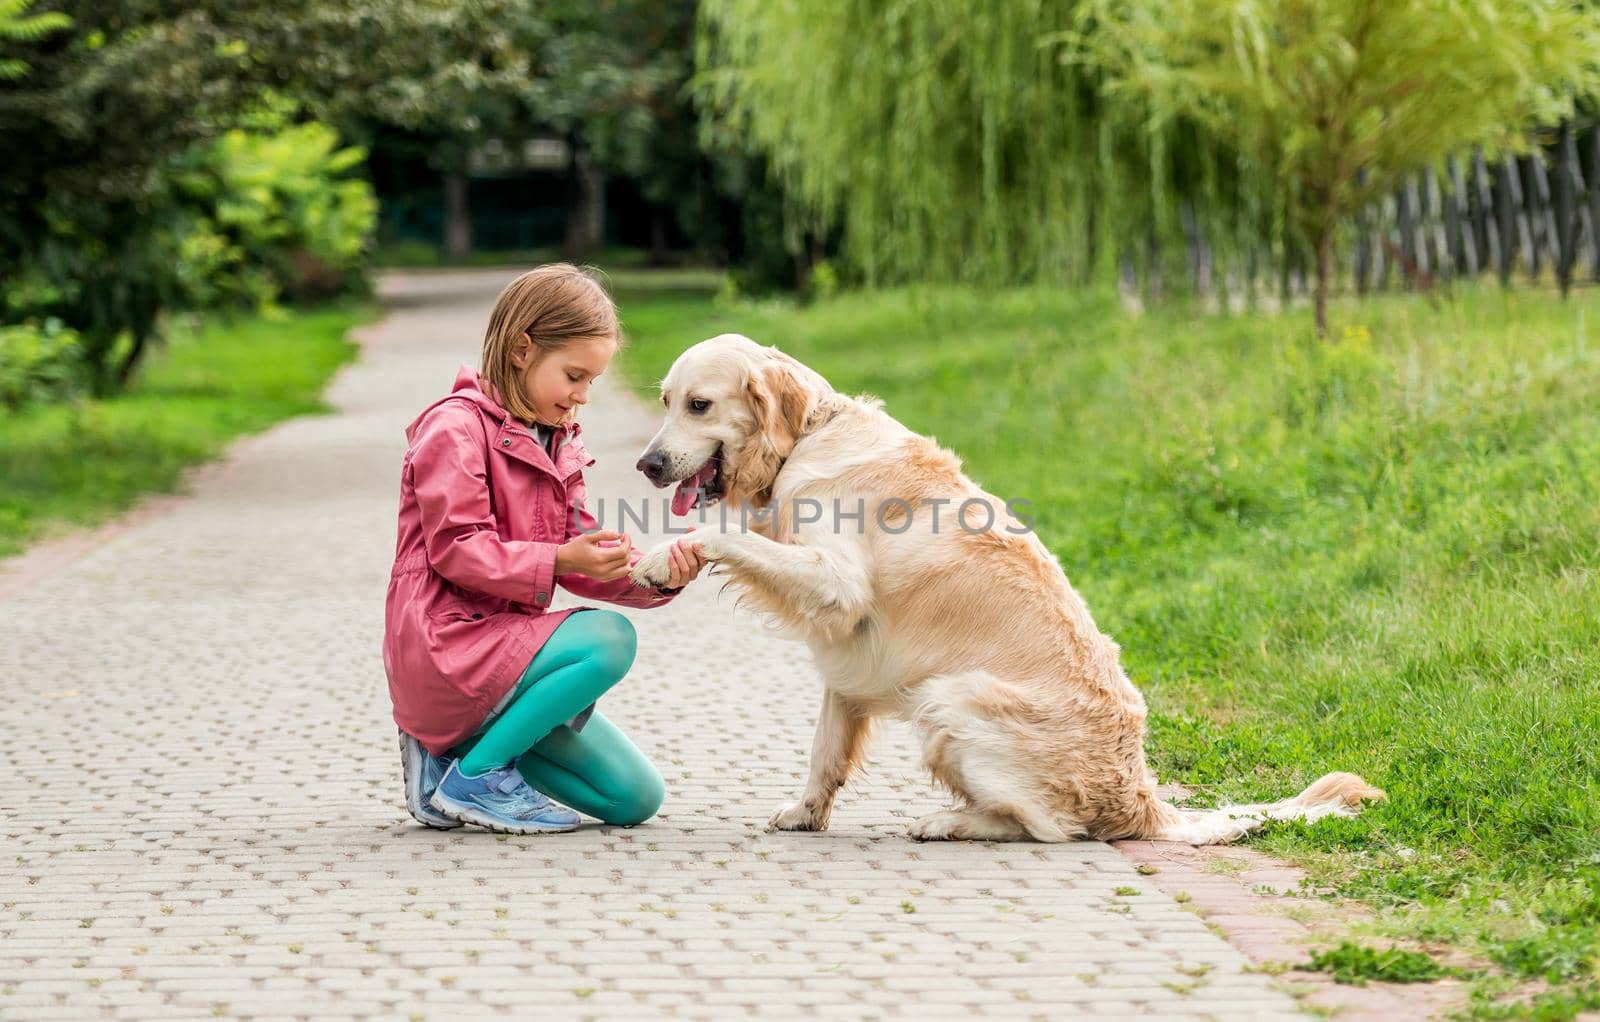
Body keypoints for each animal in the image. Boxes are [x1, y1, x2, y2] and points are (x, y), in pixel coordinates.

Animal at [630, 335, 1382, 844]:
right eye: (664, 402)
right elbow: (825, 750)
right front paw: (806, 813)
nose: (647, 464)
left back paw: (950, 822)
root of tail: (1143, 798)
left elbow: (727, 538)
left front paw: (663, 558)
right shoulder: (848, 658)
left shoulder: (838, 587)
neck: (812, 433)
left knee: (1051, 827)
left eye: (700, 405)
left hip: (947, 697)